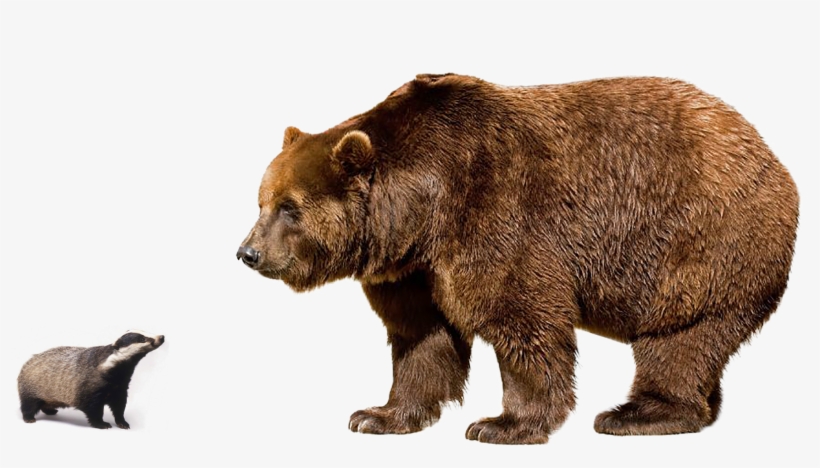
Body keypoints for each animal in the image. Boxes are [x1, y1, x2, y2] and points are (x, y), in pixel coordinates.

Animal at [236, 74, 799, 444]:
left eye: (290, 208)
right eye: (261, 201)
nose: (248, 252)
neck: (421, 209)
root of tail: (772, 157)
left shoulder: (497, 215)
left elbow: (521, 319)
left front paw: (502, 424)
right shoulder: (412, 270)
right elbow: (422, 339)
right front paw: (377, 415)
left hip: (701, 243)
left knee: (678, 338)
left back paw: (636, 414)